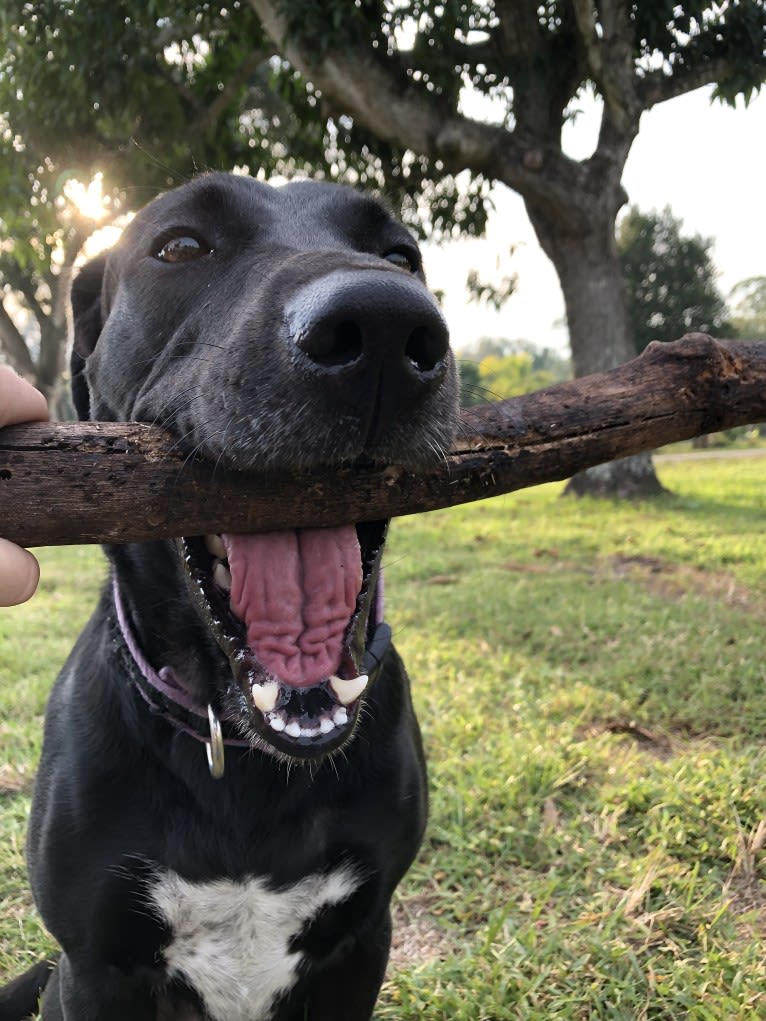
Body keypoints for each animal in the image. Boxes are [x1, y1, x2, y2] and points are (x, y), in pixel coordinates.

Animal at [0, 175, 459, 1021]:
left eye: (400, 255)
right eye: (181, 245)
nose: (385, 325)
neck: (244, 754)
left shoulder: (363, 939)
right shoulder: (93, 965)